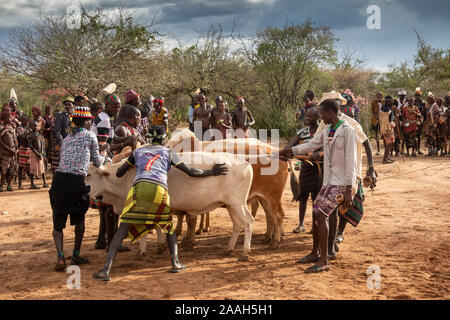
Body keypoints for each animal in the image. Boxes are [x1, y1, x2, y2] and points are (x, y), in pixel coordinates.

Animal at [84, 151, 253, 258]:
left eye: (89, 174)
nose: (84, 191)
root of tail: (245, 162)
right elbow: (157, 226)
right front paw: (160, 246)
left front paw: (142, 251)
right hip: (231, 205)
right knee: (237, 225)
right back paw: (229, 248)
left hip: (237, 203)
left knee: (248, 222)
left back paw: (245, 252)